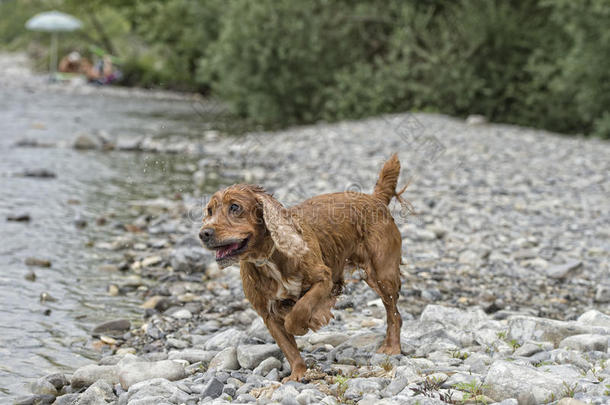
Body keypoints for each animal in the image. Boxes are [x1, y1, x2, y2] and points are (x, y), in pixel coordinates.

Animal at [200, 153, 404, 380]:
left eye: (235, 207)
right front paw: (298, 373)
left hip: (382, 274)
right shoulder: (266, 312)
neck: (268, 258)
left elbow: (300, 309)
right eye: (209, 210)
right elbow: (288, 346)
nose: (204, 233)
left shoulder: (324, 279)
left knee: (394, 315)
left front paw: (300, 326)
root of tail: (375, 199)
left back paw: (392, 347)